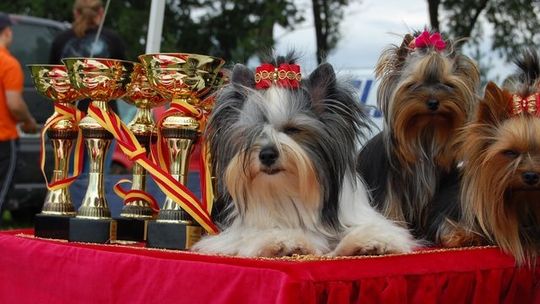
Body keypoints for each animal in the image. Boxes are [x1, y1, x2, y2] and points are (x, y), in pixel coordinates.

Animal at [194, 54, 418, 256]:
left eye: (293, 130)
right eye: (253, 132)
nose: (267, 155)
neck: (288, 192)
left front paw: (371, 241)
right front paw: (285, 242)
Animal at [356, 30, 478, 242]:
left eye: (448, 84)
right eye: (414, 84)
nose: (433, 102)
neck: (425, 133)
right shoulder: (389, 181)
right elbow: (391, 204)